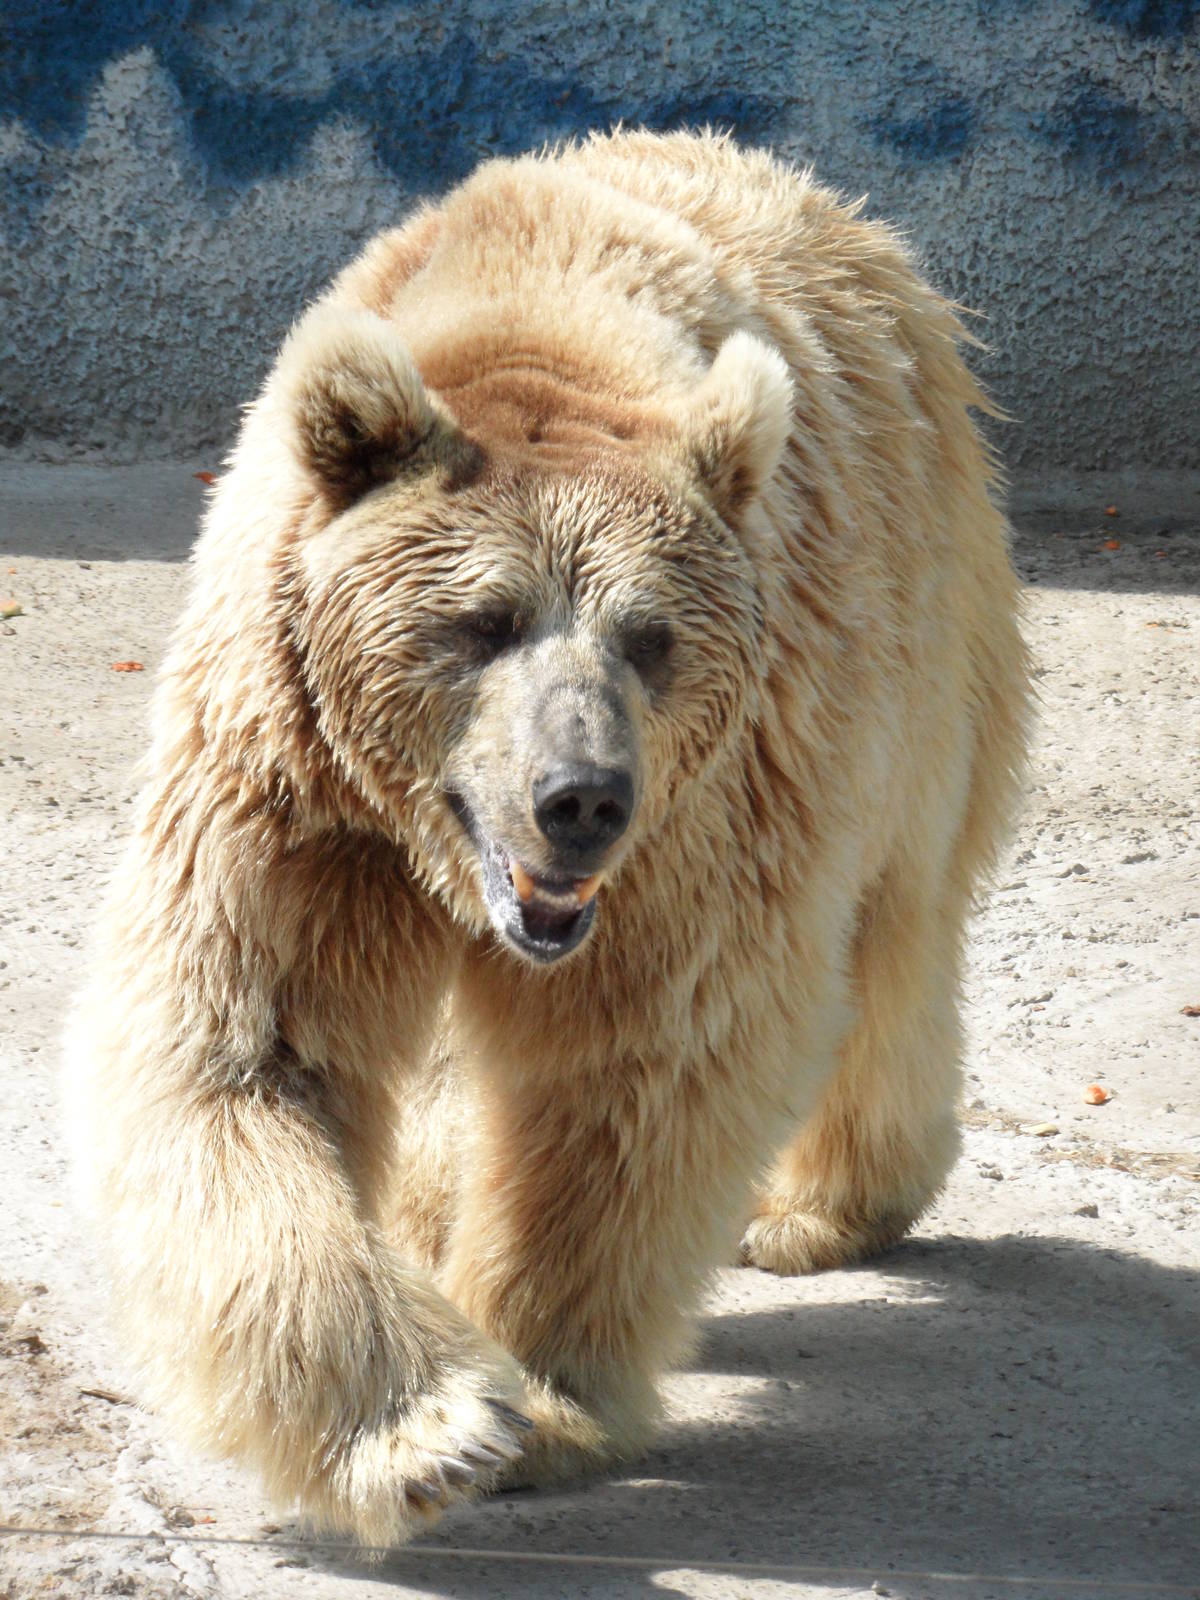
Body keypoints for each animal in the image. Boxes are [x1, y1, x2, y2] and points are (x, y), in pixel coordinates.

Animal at [65, 129, 1029, 1545]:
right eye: (482, 620)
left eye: (651, 636)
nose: (580, 796)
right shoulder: (300, 788)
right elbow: (250, 1045)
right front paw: (426, 1427)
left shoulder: (698, 824)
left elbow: (631, 1066)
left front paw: (539, 1399)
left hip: (914, 640)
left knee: (896, 925)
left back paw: (822, 1204)